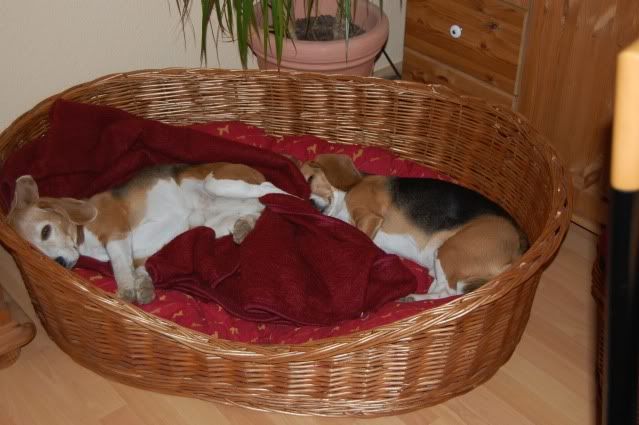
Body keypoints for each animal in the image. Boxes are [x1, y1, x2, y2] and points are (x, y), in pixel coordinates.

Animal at [7, 163, 287, 304]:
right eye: (33, 247)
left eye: (45, 231)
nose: (59, 262)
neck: (84, 235)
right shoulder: (139, 252)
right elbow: (138, 267)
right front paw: (143, 286)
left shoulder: (118, 234)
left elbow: (121, 267)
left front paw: (126, 290)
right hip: (211, 223)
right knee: (258, 209)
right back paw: (244, 226)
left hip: (219, 183)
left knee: (277, 192)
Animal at [300, 154, 528, 300]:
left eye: (310, 179)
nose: (310, 204)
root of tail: (519, 244)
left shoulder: (369, 217)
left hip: (450, 249)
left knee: (449, 293)